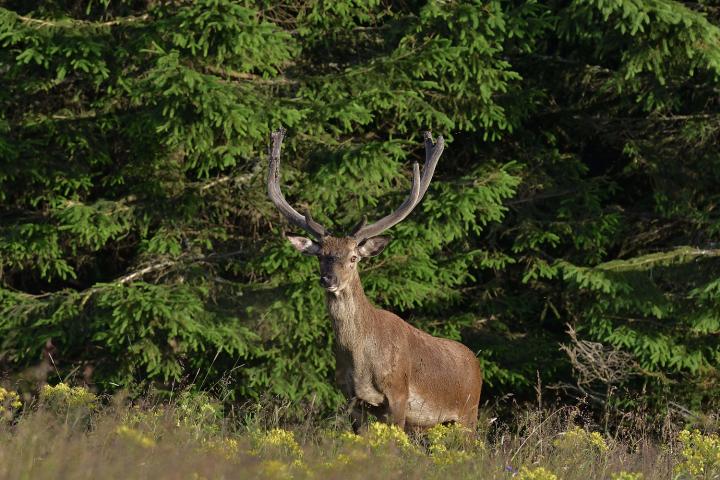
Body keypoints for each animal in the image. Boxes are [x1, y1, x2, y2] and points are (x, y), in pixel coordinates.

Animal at [268, 128, 480, 432]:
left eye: (354, 257)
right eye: (321, 255)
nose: (328, 279)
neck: (361, 360)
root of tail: (476, 364)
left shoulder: (399, 393)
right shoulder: (353, 398)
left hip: (468, 414)